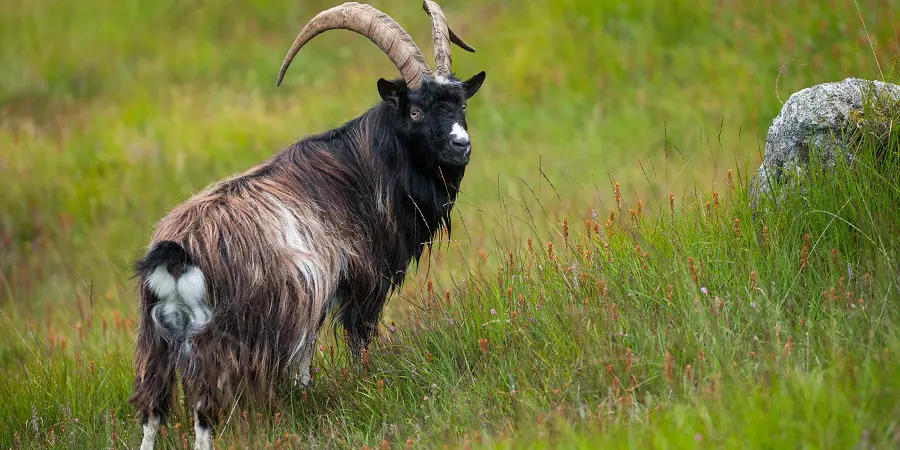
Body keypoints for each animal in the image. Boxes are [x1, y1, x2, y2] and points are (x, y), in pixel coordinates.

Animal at [128, 0, 486, 450]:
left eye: (462, 105)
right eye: (416, 110)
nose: (462, 145)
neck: (359, 170)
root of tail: (177, 252)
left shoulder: (315, 290)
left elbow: (304, 358)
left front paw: (306, 397)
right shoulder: (361, 279)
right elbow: (357, 340)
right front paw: (366, 384)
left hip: (155, 341)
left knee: (152, 413)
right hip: (215, 341)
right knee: (203, 414)